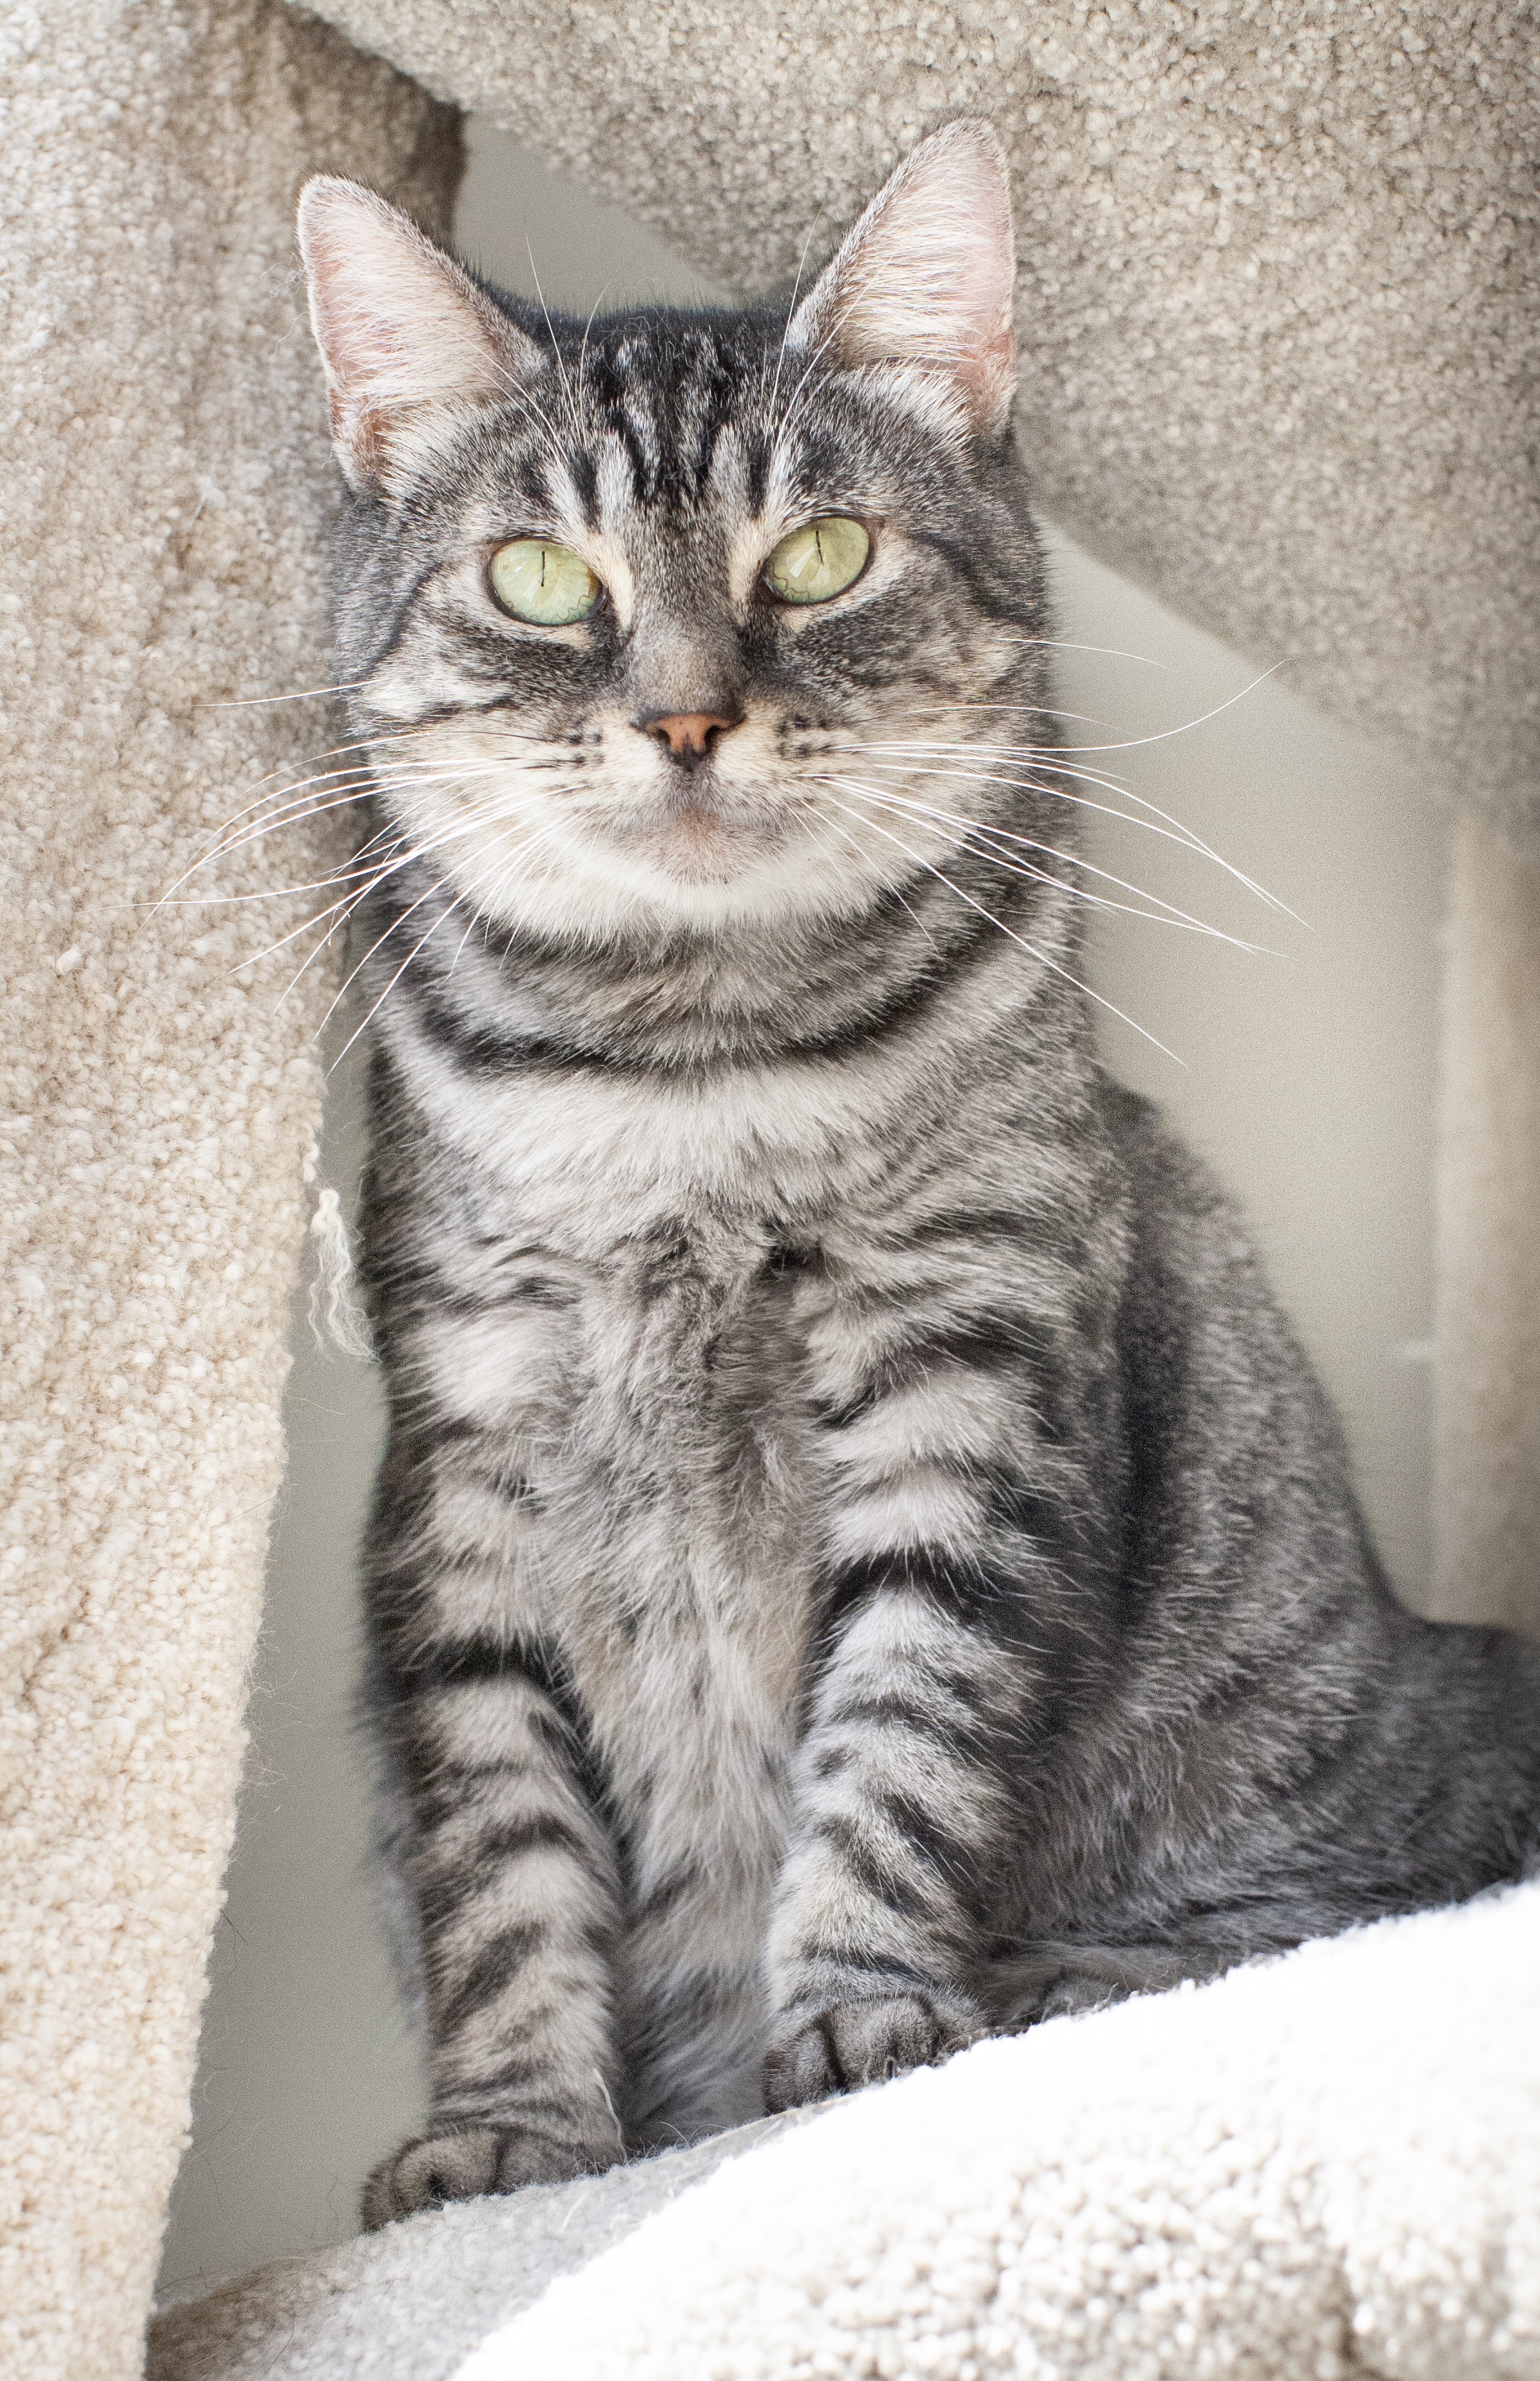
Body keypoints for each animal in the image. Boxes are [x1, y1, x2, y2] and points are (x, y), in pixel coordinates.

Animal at [293, 121, 1540, 2219]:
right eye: (543, 581)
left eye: (818, 558)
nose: (685, 714)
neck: (688, 1080)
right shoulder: (463, 1452)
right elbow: (501, 1846)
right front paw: (517, 2134)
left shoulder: (964, 1372)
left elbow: (891, 1741)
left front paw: (858, 2018)